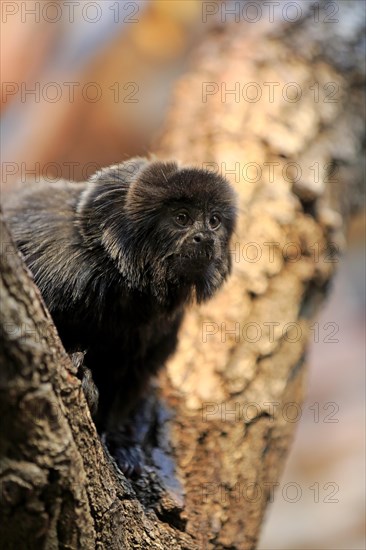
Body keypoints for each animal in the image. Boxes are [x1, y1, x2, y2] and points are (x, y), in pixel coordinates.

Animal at [3, 157, 237, 476]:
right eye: (182, 218)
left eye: (214, 221)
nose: (206, 238)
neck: (119, 279)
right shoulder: (58, 265)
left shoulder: (163, 327)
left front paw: (118, 444)